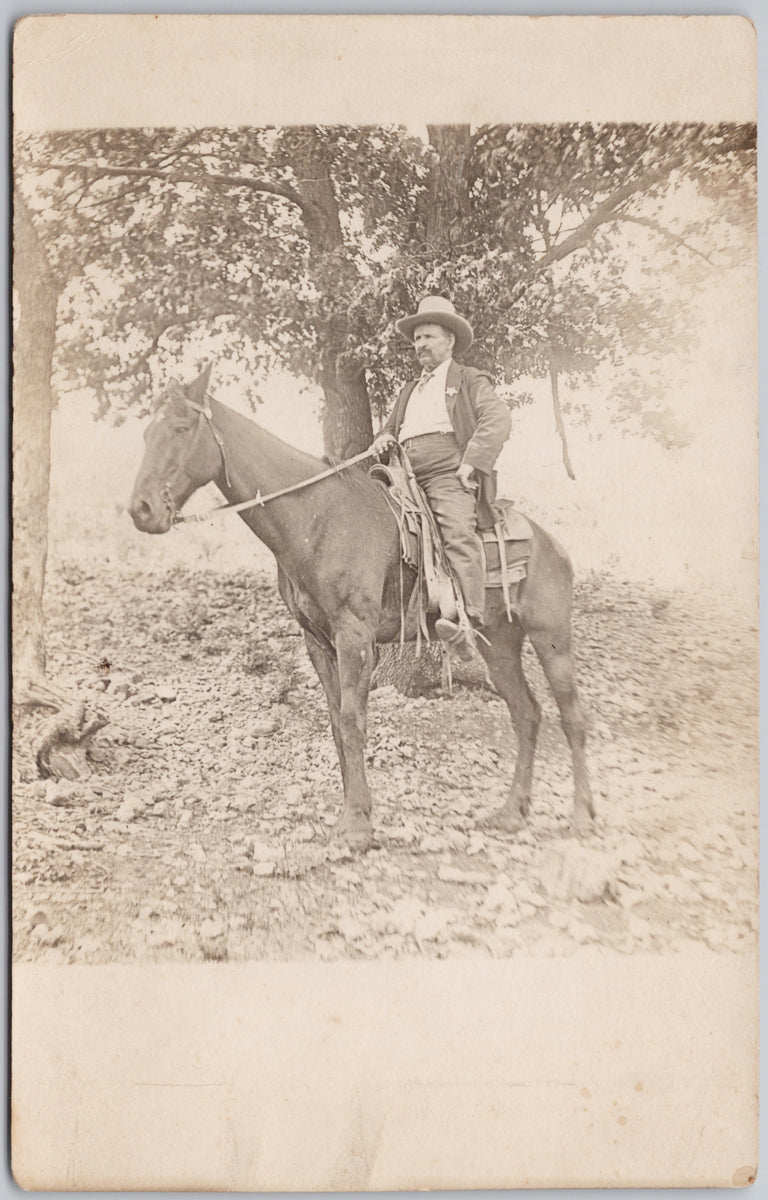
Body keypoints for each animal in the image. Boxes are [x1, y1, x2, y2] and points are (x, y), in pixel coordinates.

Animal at [129, 360, 595, 849]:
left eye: (181, 428)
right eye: (146, 432)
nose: (141, 510)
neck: (318, 516)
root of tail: (550, 543)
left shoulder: (354, 636)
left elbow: (354, 720)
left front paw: (356, 827)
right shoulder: (318, 641)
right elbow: (337, 723)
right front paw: (353, 814)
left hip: (551, 638)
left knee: (572, 716)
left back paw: (581, 816)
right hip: (499, 644)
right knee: (526, 714)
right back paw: (509, 813)